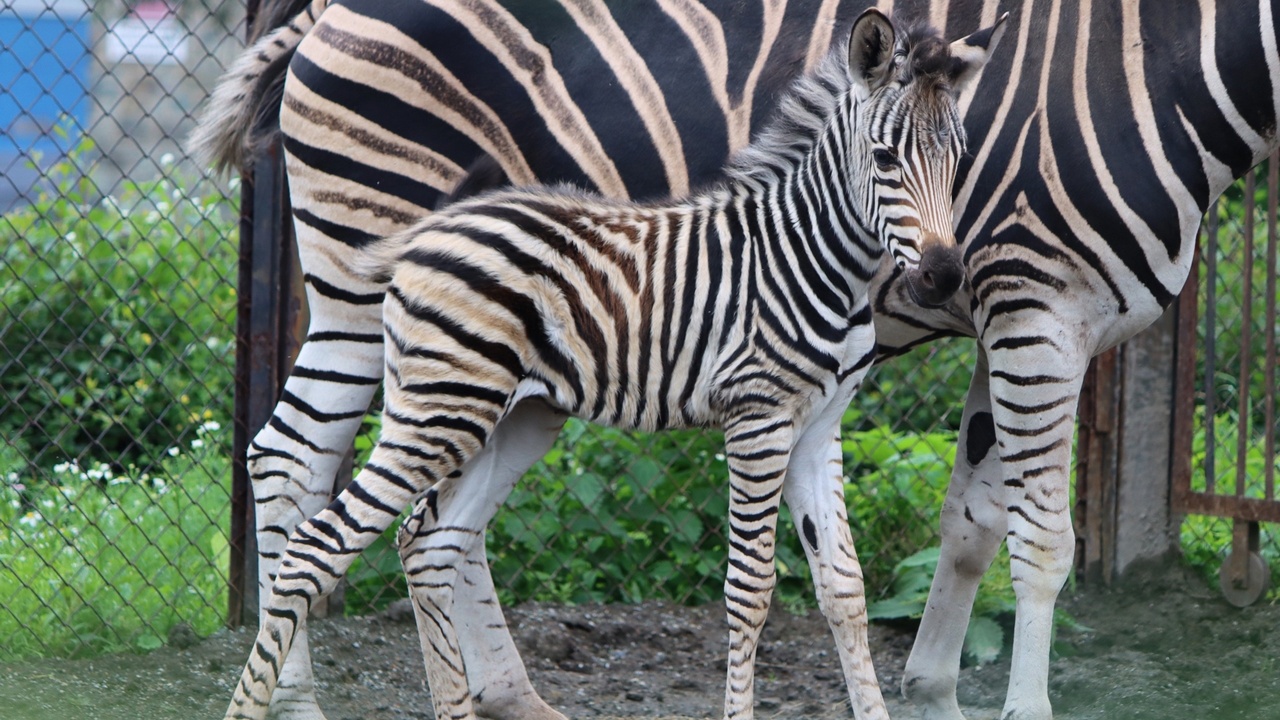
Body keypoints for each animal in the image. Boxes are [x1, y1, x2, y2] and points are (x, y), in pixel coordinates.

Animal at [189, 1, 1280, 717]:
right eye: (888, 159)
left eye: (961, 157)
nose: (937, 273)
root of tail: (319, 12)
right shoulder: (1029, 303)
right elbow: (1033, 542)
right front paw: (1019, 709)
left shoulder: (966, 339)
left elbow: (947, 534)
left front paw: (926, 691)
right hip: (365, 281)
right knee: (300, 473)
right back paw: (295, 702)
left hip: (494, 379)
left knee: (413, 517)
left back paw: (490, 695)